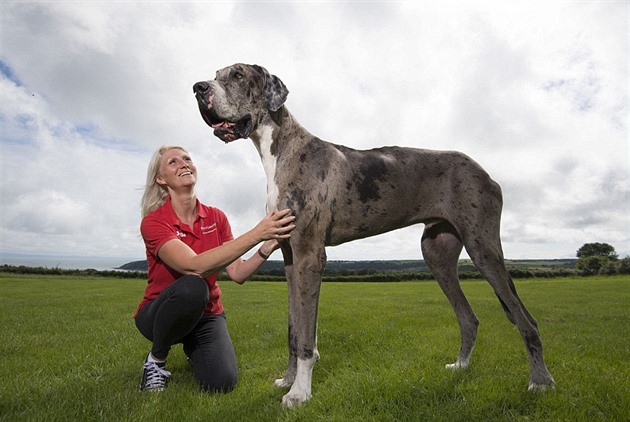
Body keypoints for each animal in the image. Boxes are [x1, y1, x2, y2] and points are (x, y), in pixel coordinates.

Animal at [191, 62, 552, 406]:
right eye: (215, 74)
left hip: (483, 247)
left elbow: (306, 338)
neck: (280, 149)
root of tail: (485, 172)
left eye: (238, 75)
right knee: (469, 318)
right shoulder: (290, 258)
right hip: (436, 253)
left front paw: (299, 393)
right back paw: (461, 366)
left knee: (526, 320)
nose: (198, 87)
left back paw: (540, 382)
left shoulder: (309, 255)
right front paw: (288, 380)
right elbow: (294, 331)